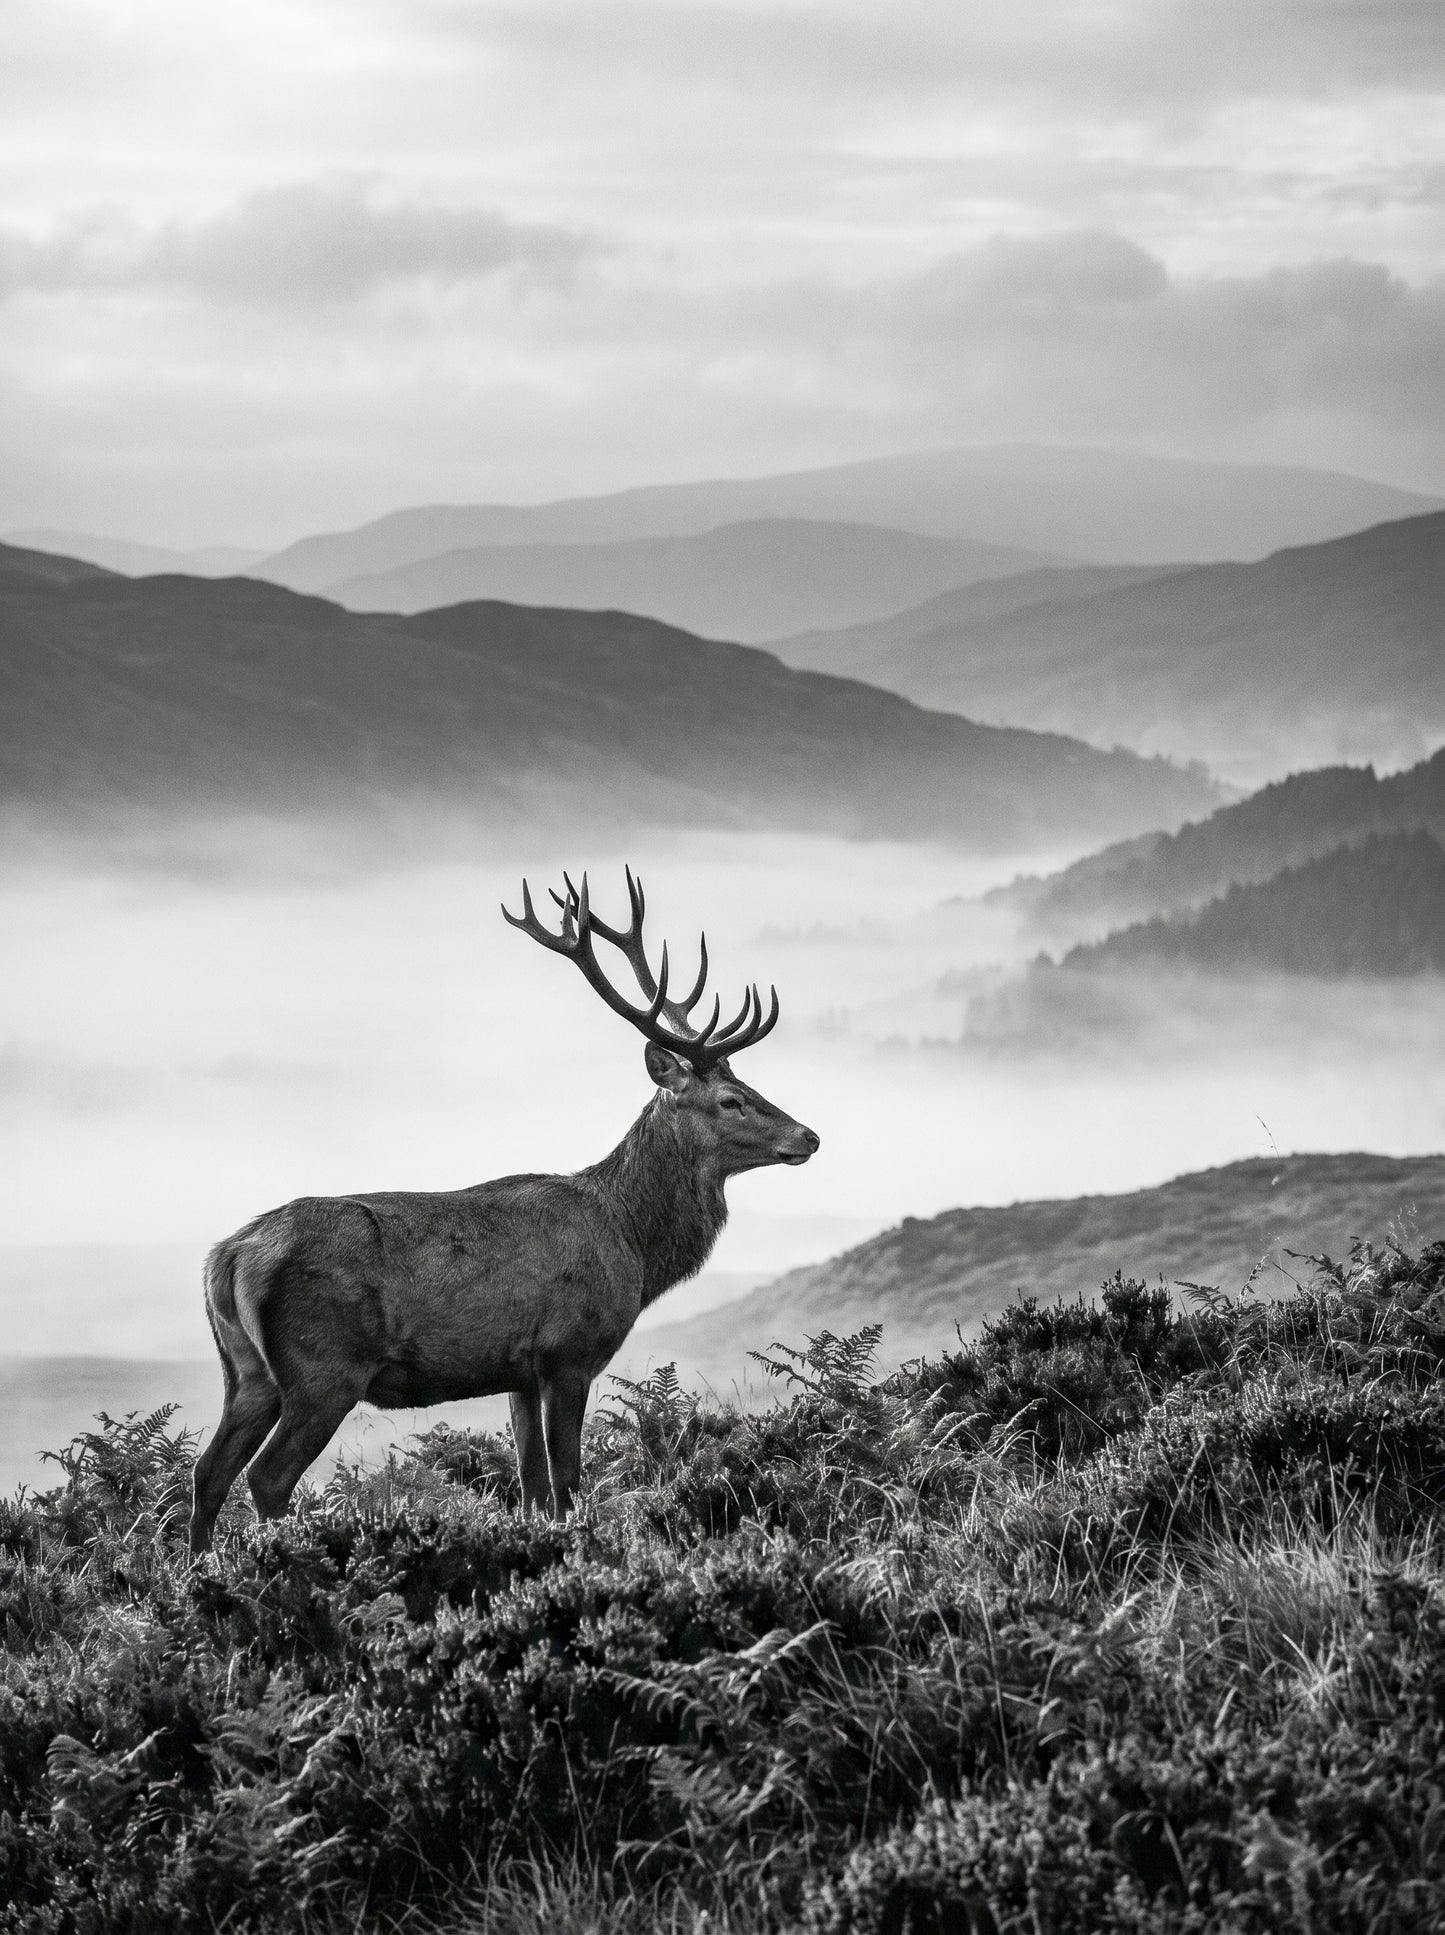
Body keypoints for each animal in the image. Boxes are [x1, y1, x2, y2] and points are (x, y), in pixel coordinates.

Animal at [188, 869, 819, 1553]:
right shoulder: (569, 1352)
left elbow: (532, 1485)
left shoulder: (516, 1371)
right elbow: (567, 1480)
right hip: (323, 1368)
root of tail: (227, 1258)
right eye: (731, 1099)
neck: (632, 1242)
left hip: (245, 1371)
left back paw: (198, 1569)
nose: (809, 1136)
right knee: (267, 1476)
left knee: (208, 1470)